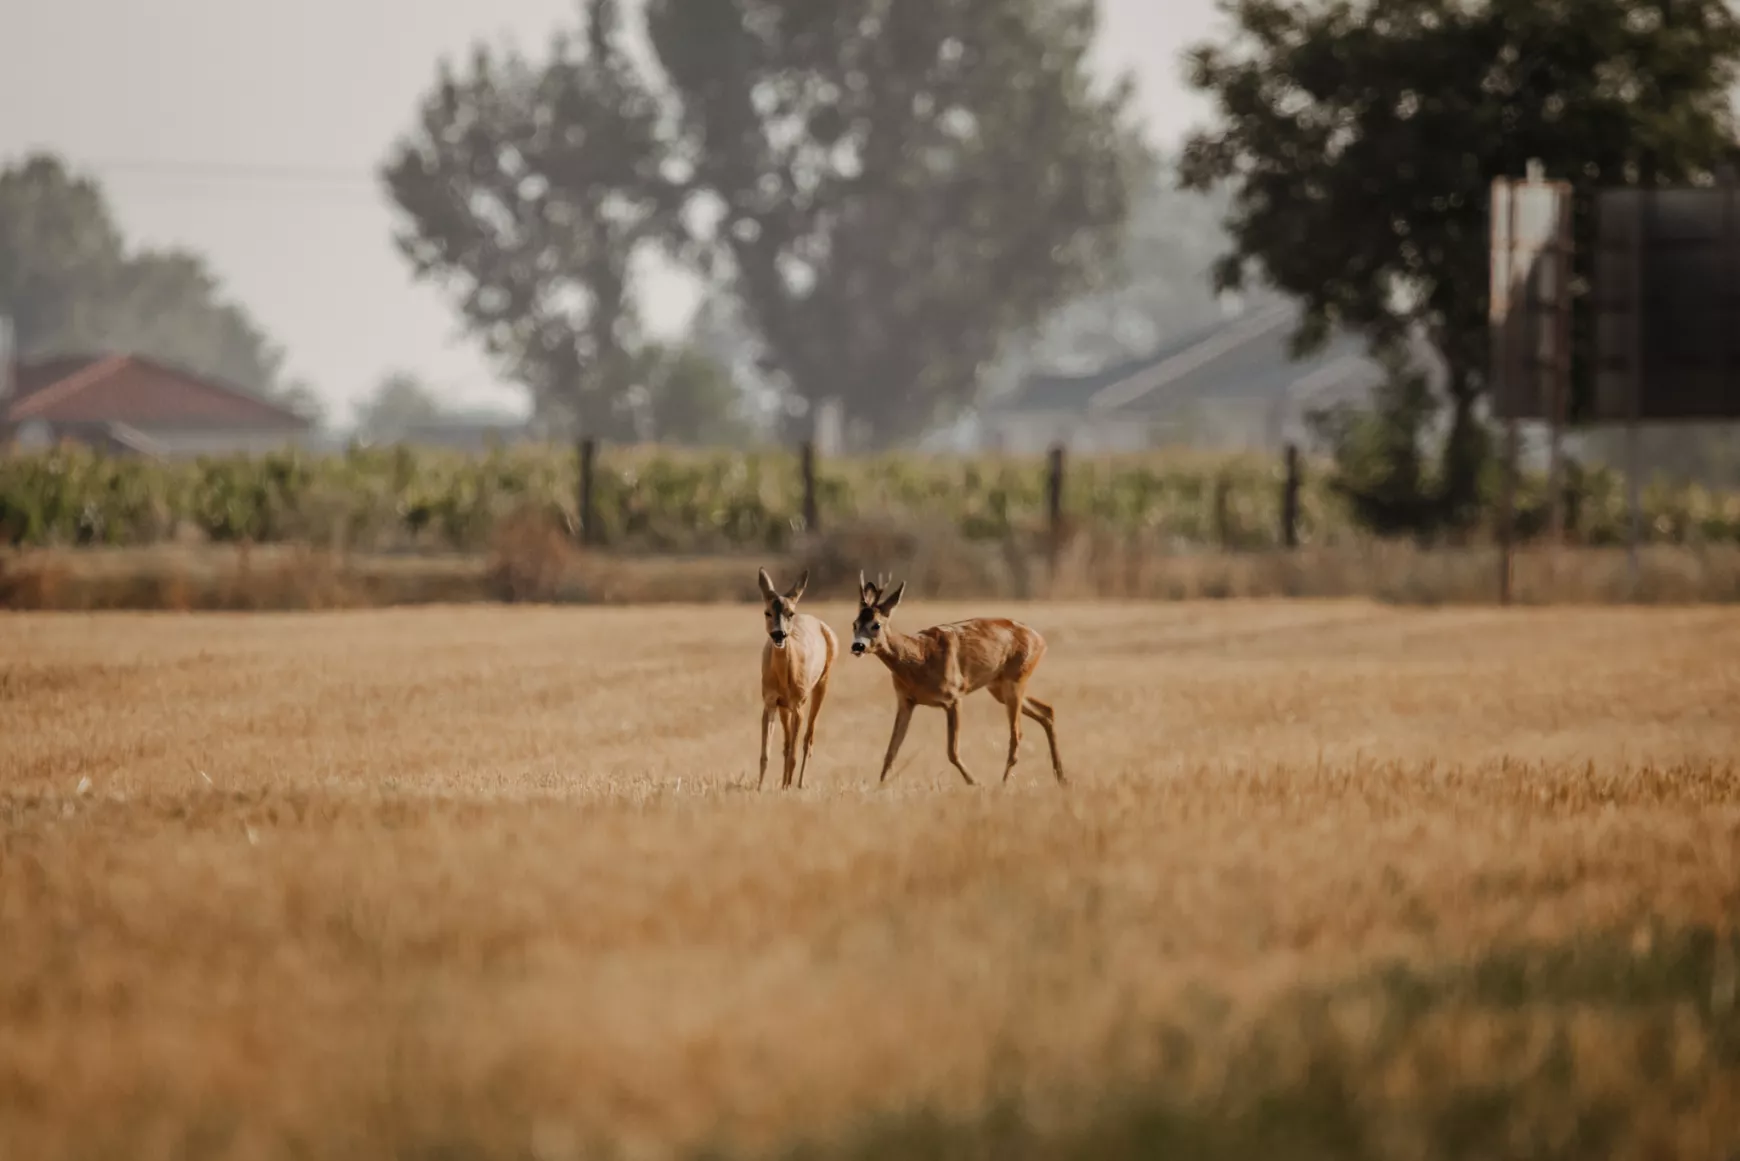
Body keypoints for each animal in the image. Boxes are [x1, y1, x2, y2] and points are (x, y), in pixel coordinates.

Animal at [758, 563, 838, 790]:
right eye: (767, 612)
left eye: (790, 613)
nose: (779, 634)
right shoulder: (770, 701)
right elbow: (765, 754)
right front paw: (759, 788)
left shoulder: (798, 703)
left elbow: (794, 753)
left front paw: (787, 788)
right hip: (784, 707)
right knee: (786, 744)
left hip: (822, 683)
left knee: (808, 739)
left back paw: (799, 783)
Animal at [845, 570, 1057, 790]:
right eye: (854, 624)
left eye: (876, 625)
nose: (857, 646)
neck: (919, 659)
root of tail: (1040, 640)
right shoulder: (906, 700)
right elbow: (891, 751)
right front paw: (879, 787)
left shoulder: (954, 697)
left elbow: (952, 752)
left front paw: (975, 782)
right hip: (998, 686)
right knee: (1046, 711)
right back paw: (1061, 776)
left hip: (1016, 678)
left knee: (1017, 734)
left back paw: (1004, 783)